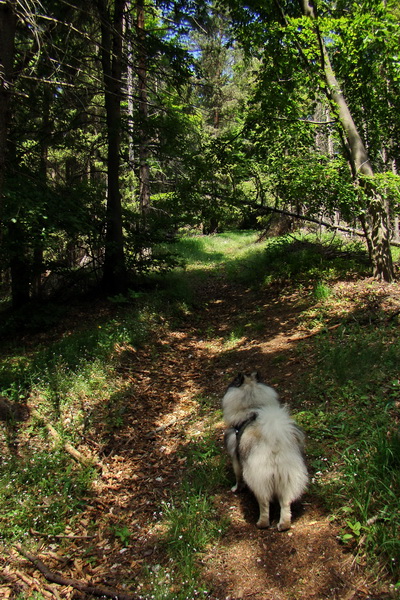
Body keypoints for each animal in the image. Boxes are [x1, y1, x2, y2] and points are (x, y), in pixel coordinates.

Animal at [223, 372, 308, 532]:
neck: (252, 407)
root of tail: (274, 444)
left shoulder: (235, 457)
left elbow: (238, 477)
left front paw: (236, 488)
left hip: (258, 478)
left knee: (264, 504)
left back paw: (261, 523)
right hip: (287, 477)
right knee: (285, 504)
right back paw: (284, 525)